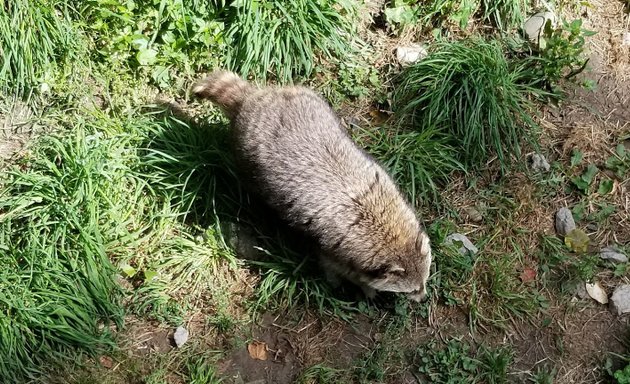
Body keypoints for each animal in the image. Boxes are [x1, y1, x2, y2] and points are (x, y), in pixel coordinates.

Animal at [193, 70, 432, 302]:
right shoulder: (332, 247)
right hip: (246, 157)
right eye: (412, 289)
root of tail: (252, 98)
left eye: (424, 280)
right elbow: (333, 269)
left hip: (308, 98)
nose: (423, 298)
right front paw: (362, 288)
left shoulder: (383, 181)